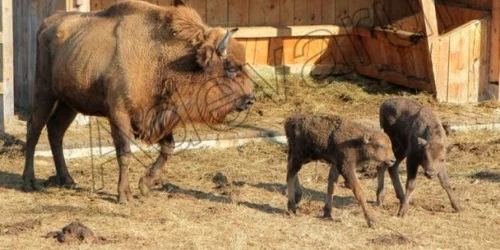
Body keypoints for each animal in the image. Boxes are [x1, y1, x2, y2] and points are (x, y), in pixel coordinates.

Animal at [21, 0, 254, 203]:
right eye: (231, 68)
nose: (250, 99)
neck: (164, 58)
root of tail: (48, 24)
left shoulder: (158, 114)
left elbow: (168, 147)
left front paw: (145, 185)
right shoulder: (120, 114)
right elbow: (125, 153)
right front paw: (124, 195)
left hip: (69, 103)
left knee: (55, 131)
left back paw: (67, 180)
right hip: (45, 92)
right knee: (34, 129)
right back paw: (29, 181)